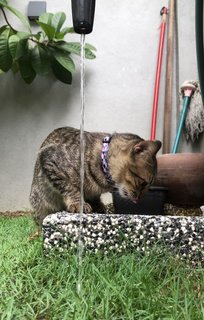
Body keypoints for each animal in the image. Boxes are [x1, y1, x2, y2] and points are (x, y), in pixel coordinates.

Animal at [29, 126, 161, 226]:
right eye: (144, 183)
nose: (139, 199)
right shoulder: (49, 160)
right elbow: (70, 187)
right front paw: (78, 203)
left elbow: (95, 198)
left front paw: (99, 206)